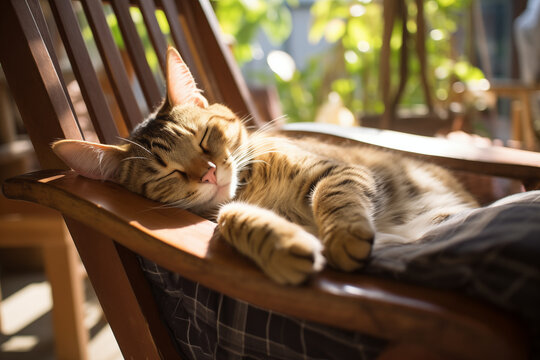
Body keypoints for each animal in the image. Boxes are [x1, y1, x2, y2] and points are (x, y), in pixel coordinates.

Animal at [52, 47, 478, 284]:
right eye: (166, 172)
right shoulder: (221, 212)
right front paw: (282, 244)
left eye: (204, 137)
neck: (253, 188)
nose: (208, 172)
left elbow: (333, 195)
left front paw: (342, 236)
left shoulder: (337, 170)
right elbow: (232, 217)